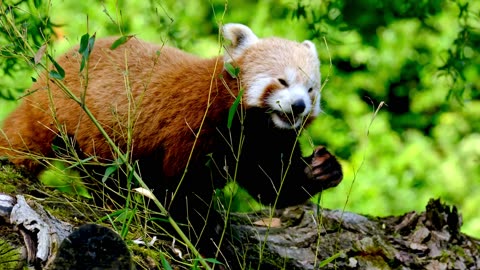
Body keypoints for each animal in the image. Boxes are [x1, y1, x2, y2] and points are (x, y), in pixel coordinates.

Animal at [0, 23, 344, 249]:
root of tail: (46, 81)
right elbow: (182, 186)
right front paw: (201, 230)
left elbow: (272, 183)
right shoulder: (196, 126)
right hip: (85, 126)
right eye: (282, 81)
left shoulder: (263, 142)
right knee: (106, 174)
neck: (247, 125)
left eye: (311, 89)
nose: (298, 106)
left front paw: (321, 169)